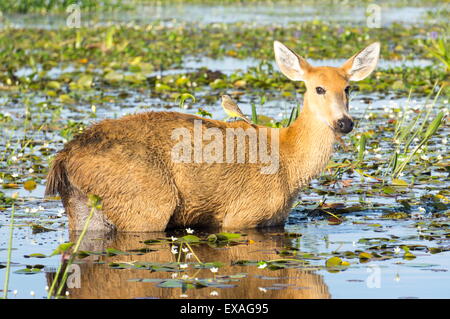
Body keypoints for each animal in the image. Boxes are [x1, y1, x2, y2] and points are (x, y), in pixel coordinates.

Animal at [46, 42, 380, 232]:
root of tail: (64, 158)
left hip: (83, 208)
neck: (289, 162)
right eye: (318, 88)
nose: (344, 123)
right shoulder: (240, 217)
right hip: (145, 204)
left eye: (348, 87)